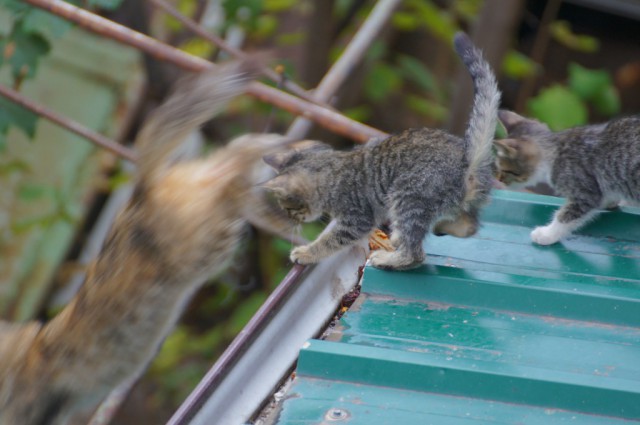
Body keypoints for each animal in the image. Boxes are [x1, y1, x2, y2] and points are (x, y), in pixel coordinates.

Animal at [262, 34, 502, 272]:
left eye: (289, 208)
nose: (293, 219)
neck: (331, 171)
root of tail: (466, 158)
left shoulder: (356, 219)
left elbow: (330, 240)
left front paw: (307, 252)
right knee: (470, 225)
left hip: (408, 196)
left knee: (416, 254)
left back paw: (391, 258)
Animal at [496, 110, 640, 245]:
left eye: (504, 170)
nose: (499, 180)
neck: (554, 150)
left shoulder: (584, 193)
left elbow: (565, 216)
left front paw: (547, 234)